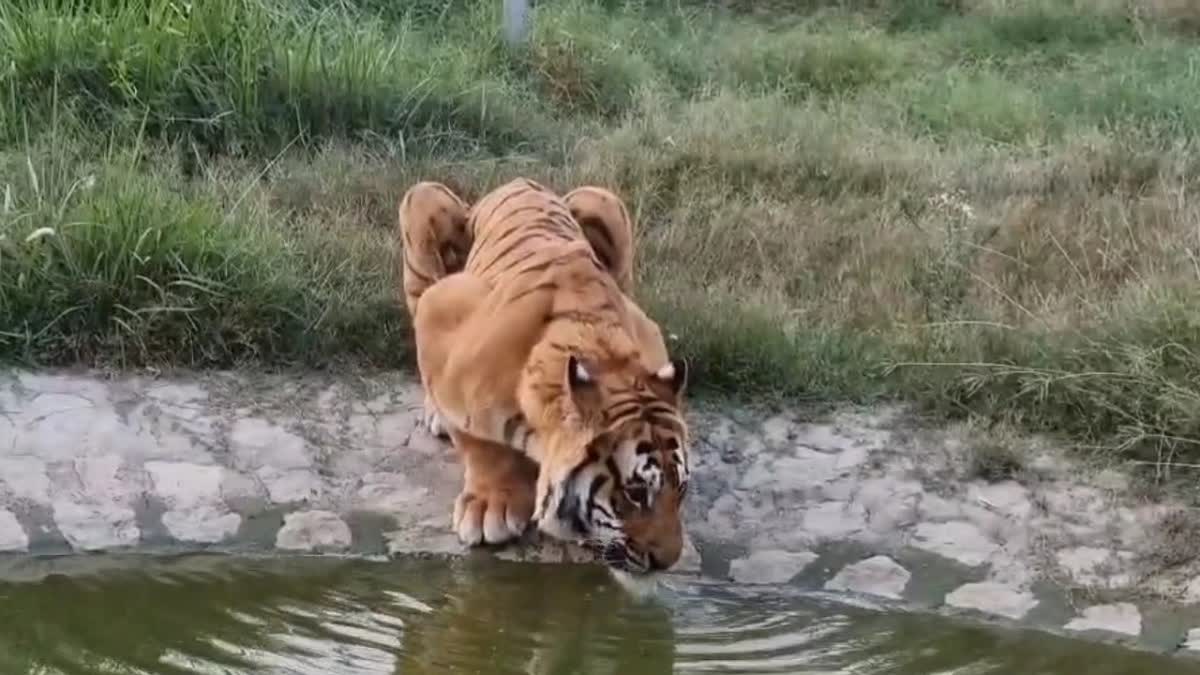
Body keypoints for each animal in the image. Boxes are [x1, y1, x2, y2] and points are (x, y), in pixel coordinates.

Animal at [398, 176, 691, 569]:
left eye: (682, 489)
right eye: (635, 493)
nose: (668, 561)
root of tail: (516, 181)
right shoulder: (441, 308)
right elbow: (479, 440)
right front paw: (490, 506)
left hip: (603, 201)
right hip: (423, 200)